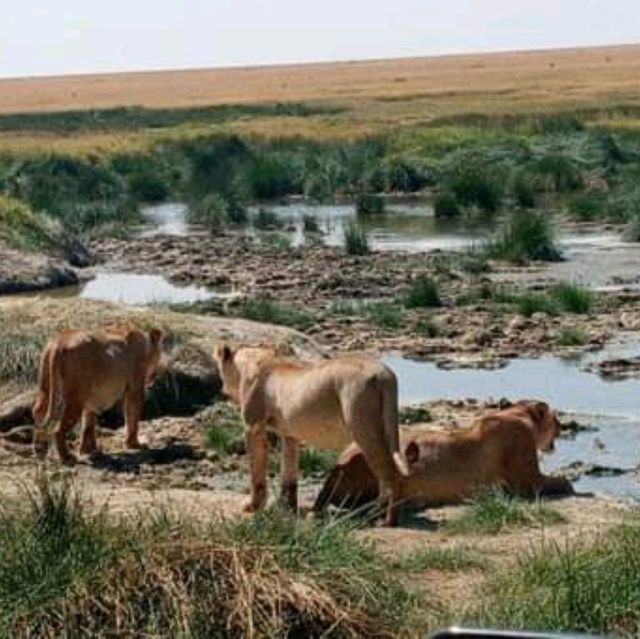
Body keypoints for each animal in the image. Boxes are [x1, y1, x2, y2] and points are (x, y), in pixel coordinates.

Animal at [33, 324, 165, 464]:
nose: (153, 377)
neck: (145, 345)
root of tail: (59, 342)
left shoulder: (92, 397)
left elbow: (88, 423)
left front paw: (88, 450)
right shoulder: (135, 388)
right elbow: (132, 415)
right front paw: (134, 444)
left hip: (46, 385)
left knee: (38, 411)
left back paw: (39, 450)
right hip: (76, 397)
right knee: (58, 430)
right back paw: (67, 457)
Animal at [212, 344, 408, 524]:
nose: (221, 390)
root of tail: (385, 374)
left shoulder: (253, 427)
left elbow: (256, 471)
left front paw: (252, 506)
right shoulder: (289, 434)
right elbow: (289, 472)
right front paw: (286, 507)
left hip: (364, 426)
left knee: (392, 475)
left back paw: (386, 520)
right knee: (387, 476)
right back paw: (375, 513)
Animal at [318, 402, 572, 512]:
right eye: (556, 419)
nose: (563, 426)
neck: (517, 414)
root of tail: (332, 472)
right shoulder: (527, 479)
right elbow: (560, 482)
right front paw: (567, 482)